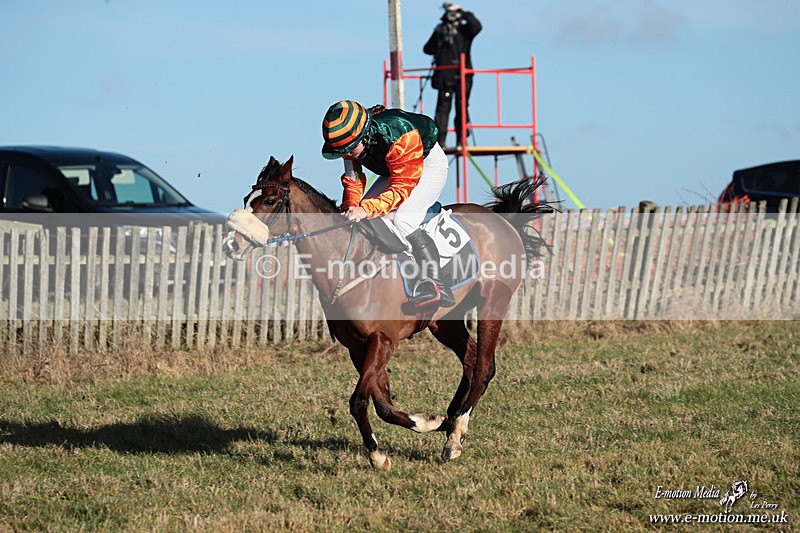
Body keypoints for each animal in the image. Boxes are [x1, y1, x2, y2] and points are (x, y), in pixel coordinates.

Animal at [222, 155, 548, 470]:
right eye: (247, 198)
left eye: (269, 201)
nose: (231, 245)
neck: (348, 262)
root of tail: (502, 220)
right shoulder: (357, 346)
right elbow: (383, 405)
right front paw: (427, 423)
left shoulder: (383, 341)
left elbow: (359, 402)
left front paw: (378, 456)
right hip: (444, 320)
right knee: (469, 360)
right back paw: (452, 419)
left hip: (493, 303)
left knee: (484, 367)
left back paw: (455, 436)